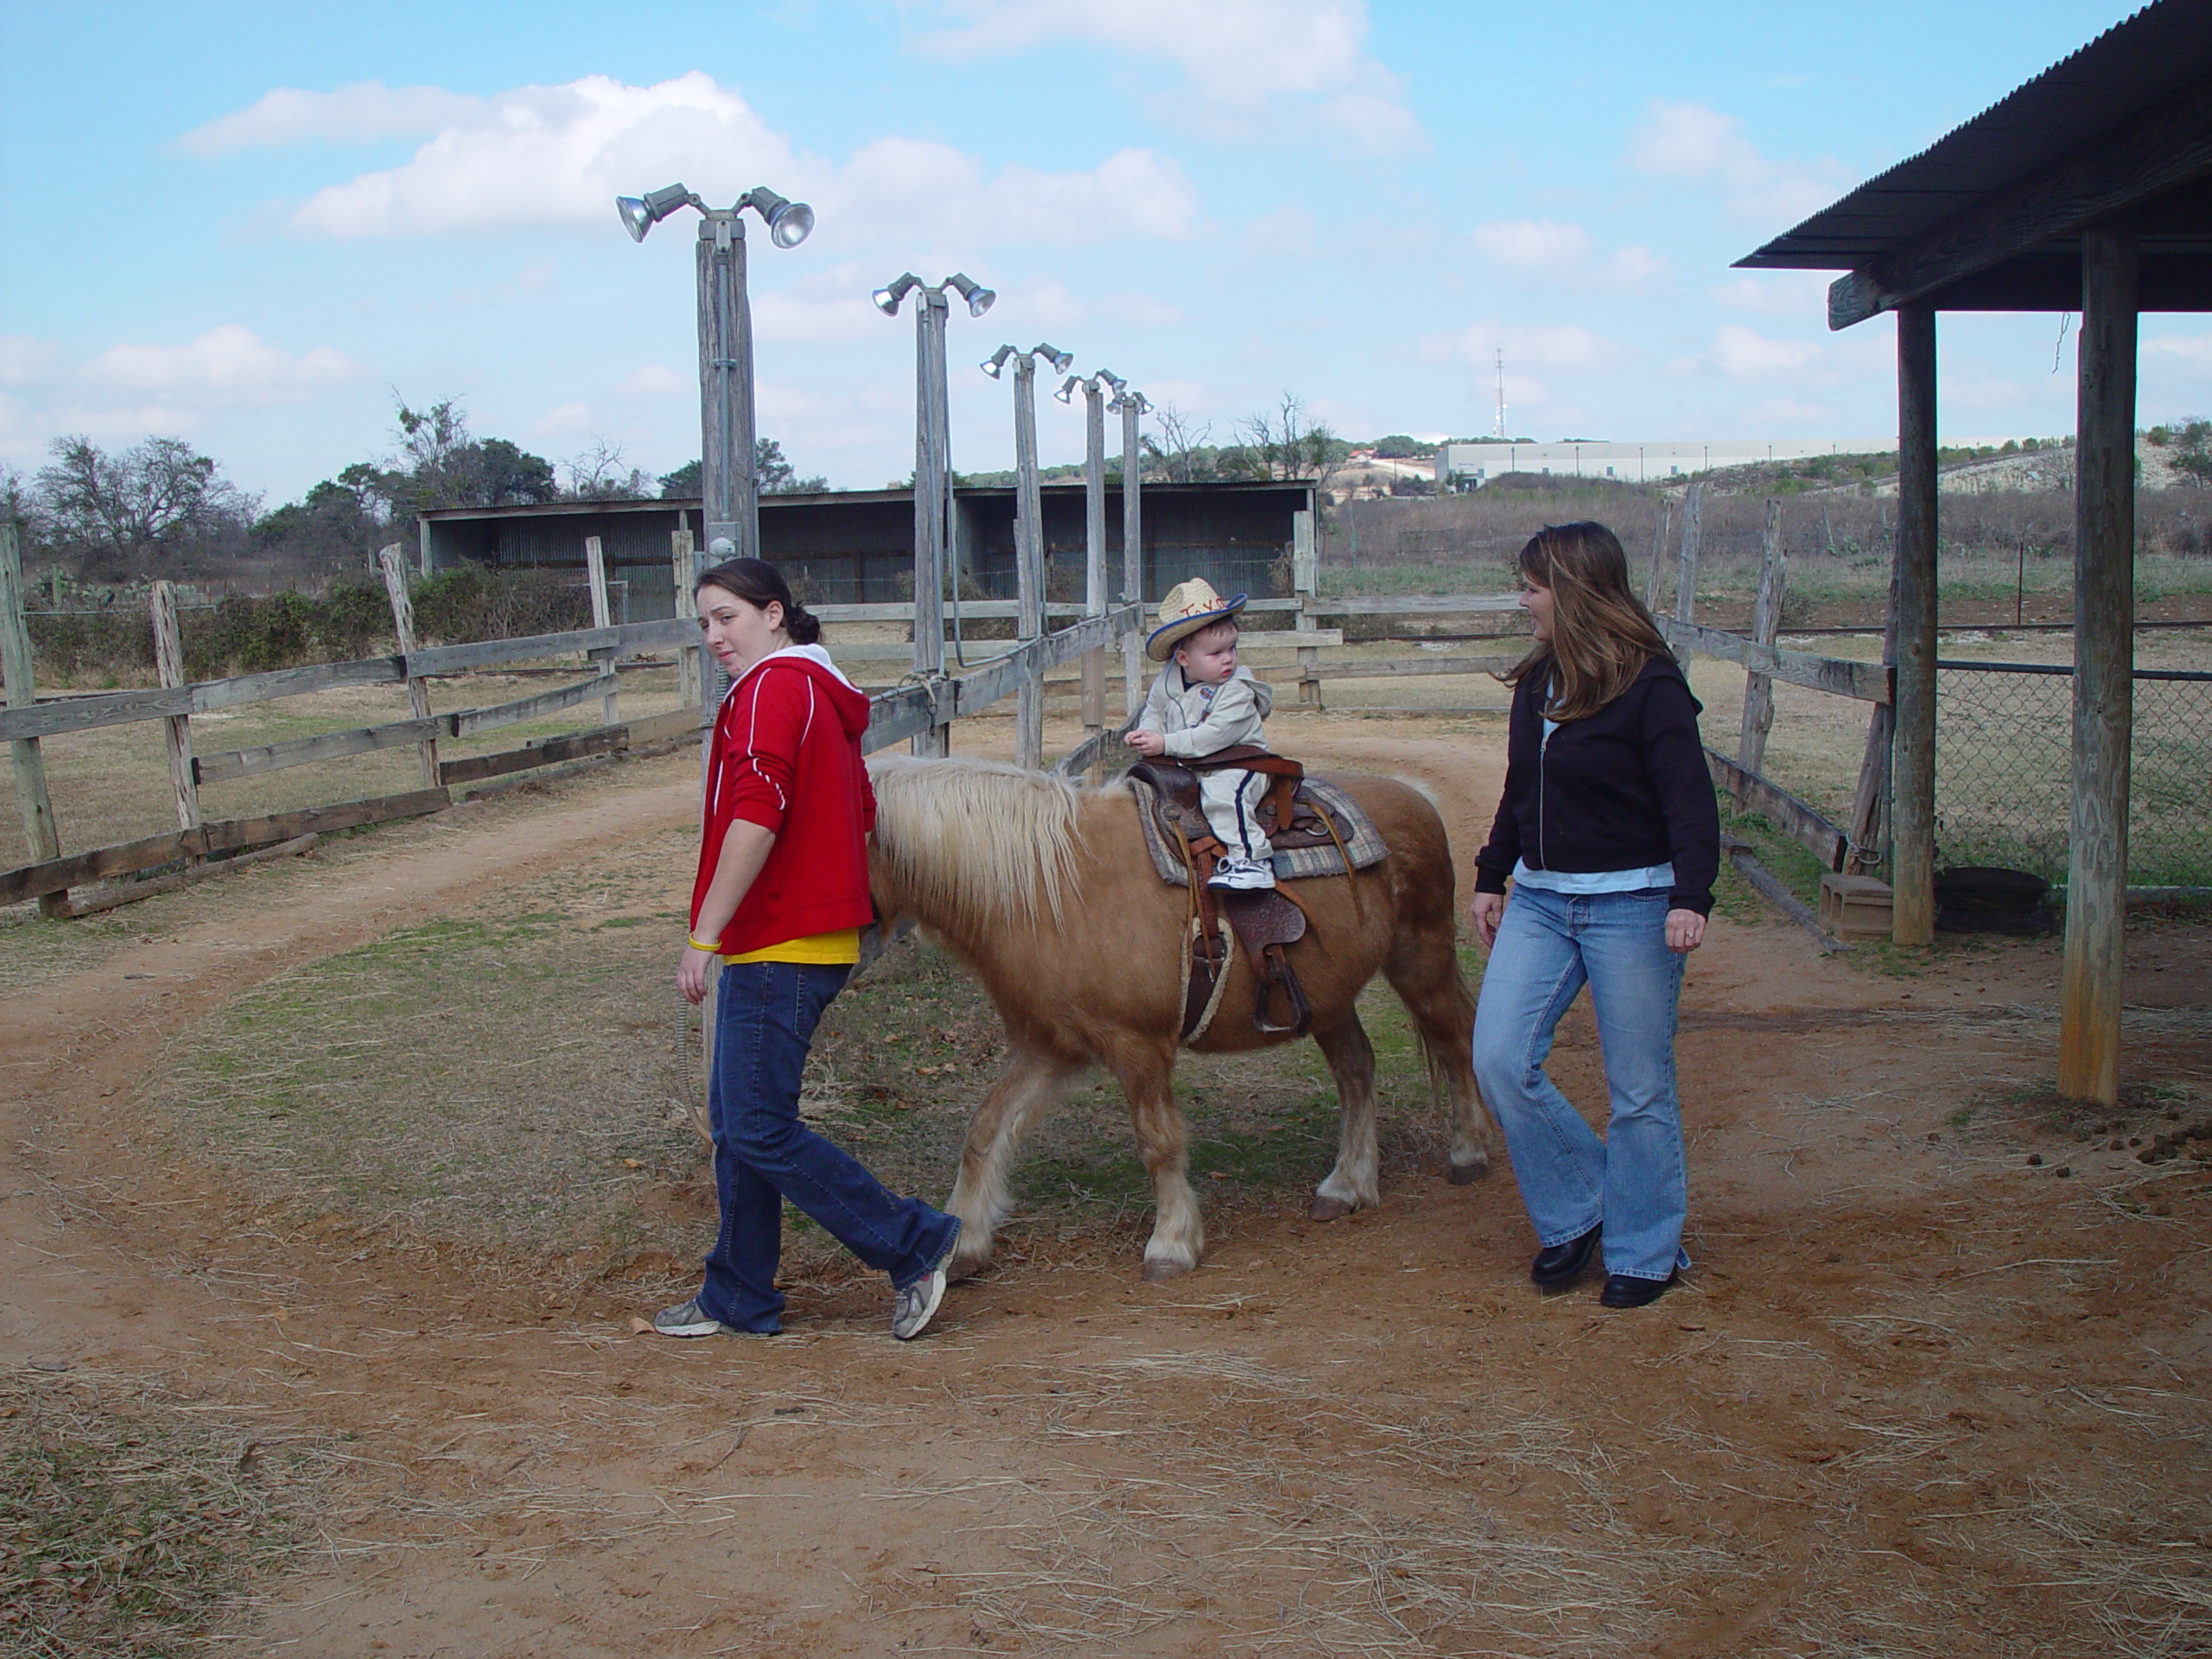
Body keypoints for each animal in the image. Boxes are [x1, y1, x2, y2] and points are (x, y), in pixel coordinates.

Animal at [871, 756, 1495, 1282]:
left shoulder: (1138, 1047)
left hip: (1421, 960)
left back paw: (1468, 1151)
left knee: (1457, 1040)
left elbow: (1159, 1142)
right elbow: (985, 1130)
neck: (1054, 890)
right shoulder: (1050, 1048)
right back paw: (1348, 1183)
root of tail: (1414, 793)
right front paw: (962, 1244)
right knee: (1357, 1070)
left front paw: (1171, 1243)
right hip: (1329, 996)